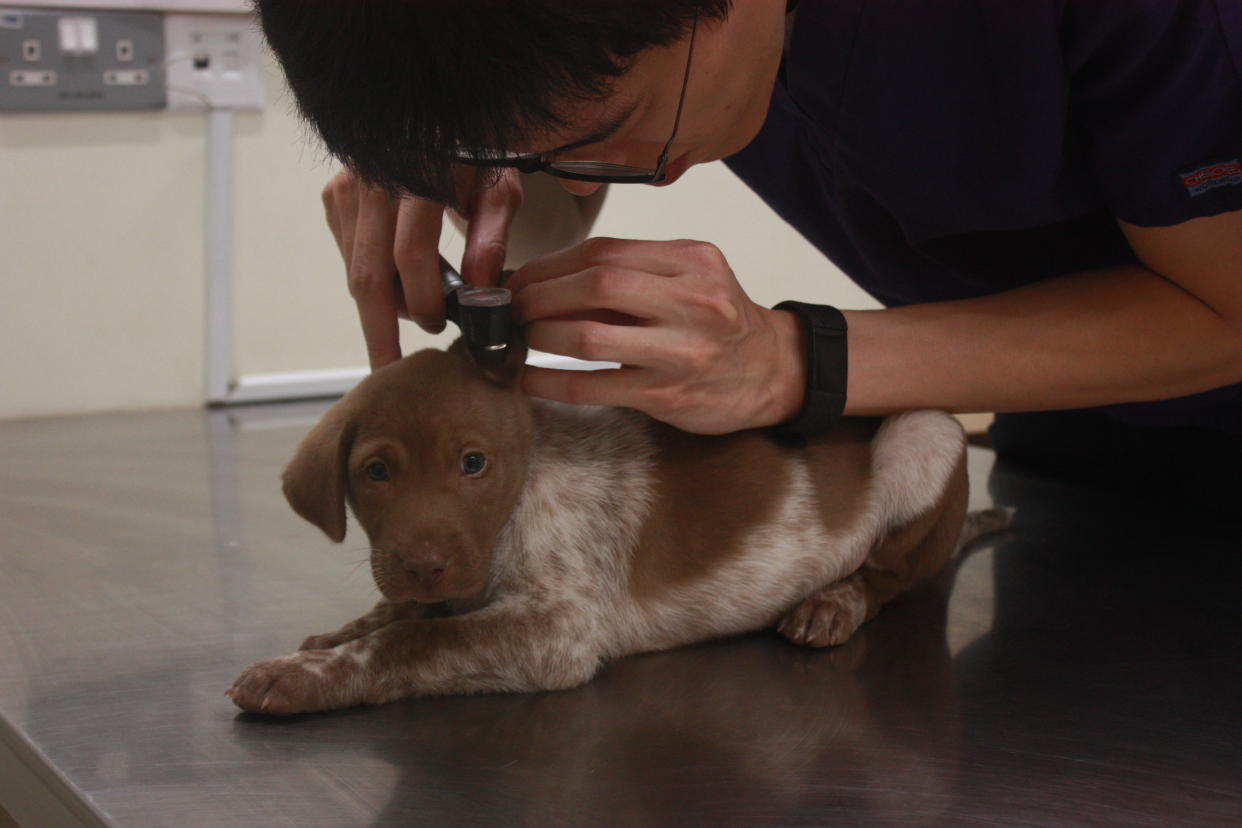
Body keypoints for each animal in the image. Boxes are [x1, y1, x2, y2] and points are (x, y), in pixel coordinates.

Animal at [226, 340, 998, 715]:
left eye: (474, 463)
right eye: (376, 472)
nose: (424, 563)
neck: (516, 506)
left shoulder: (556, 631)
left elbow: (412, 642)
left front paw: (301, 676)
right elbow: (397, 615)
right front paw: (333, 637)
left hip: (925, 436)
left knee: (887, 579)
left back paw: (831, 602)